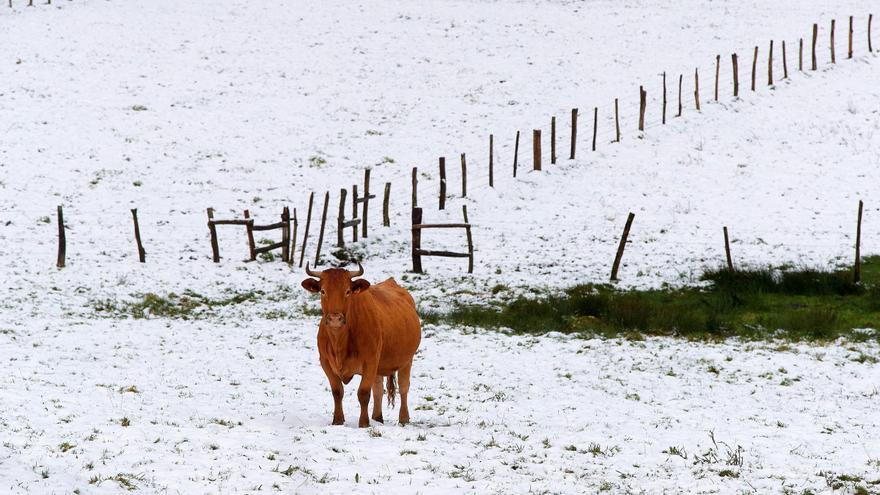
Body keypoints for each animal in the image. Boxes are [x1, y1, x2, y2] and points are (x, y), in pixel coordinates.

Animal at [300, 264, 422, 426]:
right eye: (323, 291)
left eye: (347, 291)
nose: (335, 319)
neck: (340, 342)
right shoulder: (325, 362)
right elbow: (337, 391)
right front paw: (337, 420)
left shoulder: (370, 361)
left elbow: (363, 393)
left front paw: (364, 423)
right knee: (378, 389)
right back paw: (377, 417)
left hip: (407, 359)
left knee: (403, 387)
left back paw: (403, 418)